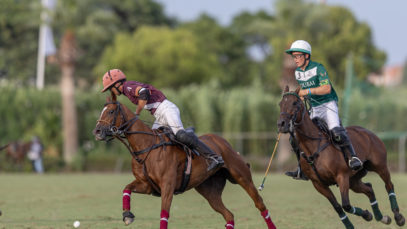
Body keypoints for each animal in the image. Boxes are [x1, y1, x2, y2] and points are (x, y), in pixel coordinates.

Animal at [92, 93, 278, 229]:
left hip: (242, 177)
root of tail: (224, 142)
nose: (97, 131)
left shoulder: (167, 186)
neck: (146, 147)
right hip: (209, 191)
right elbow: (126, 189)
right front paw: (127, 215)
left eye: (110, 112)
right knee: (229, 215)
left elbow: (164, 215)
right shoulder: (147, 185)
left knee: (260, 205)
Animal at [278, 86, 406, 229]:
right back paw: (382, 217)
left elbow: (346, 205)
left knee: (389, 185)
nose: (281, 124)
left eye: (295, 103)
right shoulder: (318, 184)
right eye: (280, 104)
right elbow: (338, 207)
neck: (313, 146)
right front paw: (365, 216)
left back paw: (398, 217)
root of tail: (368, 132)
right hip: (354, 179)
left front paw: (367, 215)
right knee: (369, 189)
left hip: (380, 166)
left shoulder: (342, 176)